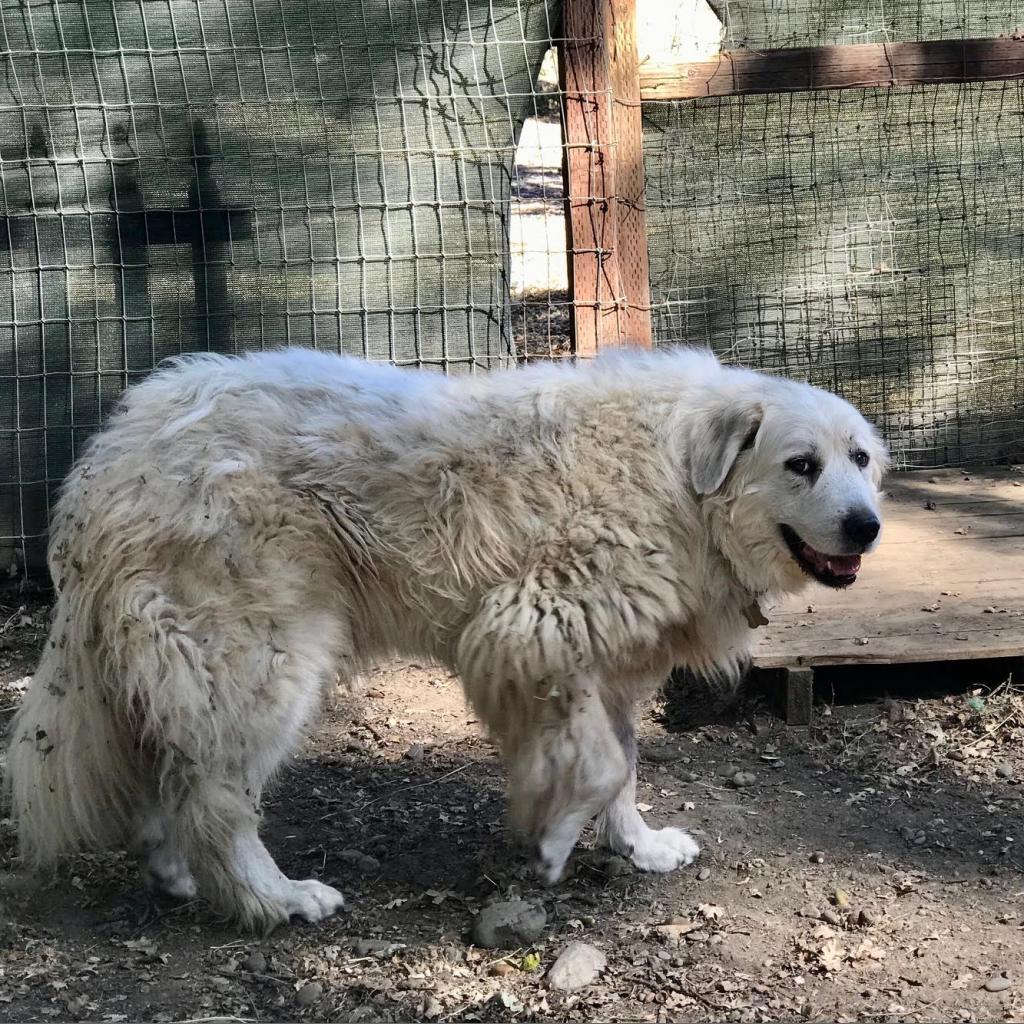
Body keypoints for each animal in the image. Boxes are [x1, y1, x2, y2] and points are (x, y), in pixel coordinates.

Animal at [6, 348, 888, 933]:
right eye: (801, 464)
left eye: (860, 459)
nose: (868, 526)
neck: (679, 476)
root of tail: (108, 457)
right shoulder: (526, 629)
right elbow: (601, 766)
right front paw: (552, 842)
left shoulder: (597, 666)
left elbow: (624, 768)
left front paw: (636, 847)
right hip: (268, 666)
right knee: (216, 802)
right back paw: (275, 900)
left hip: (201, 671)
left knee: (173, 780)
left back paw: (176, 875)